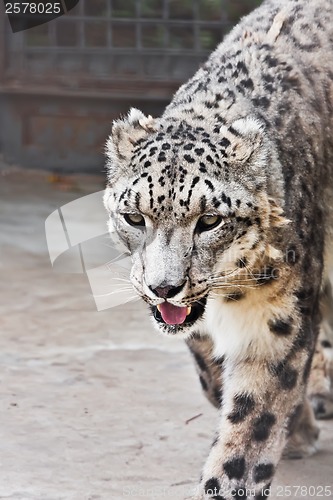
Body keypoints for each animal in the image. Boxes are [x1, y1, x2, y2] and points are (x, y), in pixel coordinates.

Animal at [104, 0, 332, 496]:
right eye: (135, 217)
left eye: (209, 220)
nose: (164, 287)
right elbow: (211, 374)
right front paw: (299, 428)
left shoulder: (278, 322)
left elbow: (254, 419)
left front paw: (231, 481)